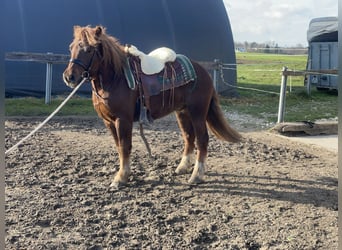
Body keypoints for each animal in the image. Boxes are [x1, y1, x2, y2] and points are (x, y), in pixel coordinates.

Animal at [63, 25, 240, 188]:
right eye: (71, 47)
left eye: (88, 49)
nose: (68, 77)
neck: (115, 78)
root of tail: (203, 72)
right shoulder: (108, 121)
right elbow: (119, 147)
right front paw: (122, 174)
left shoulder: (123, 120)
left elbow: (125, 146)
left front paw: (121, 178)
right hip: (182, 112)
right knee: (189, 137)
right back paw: (182, 167)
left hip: (198, 112)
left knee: (202, 139)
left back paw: (196, 175)